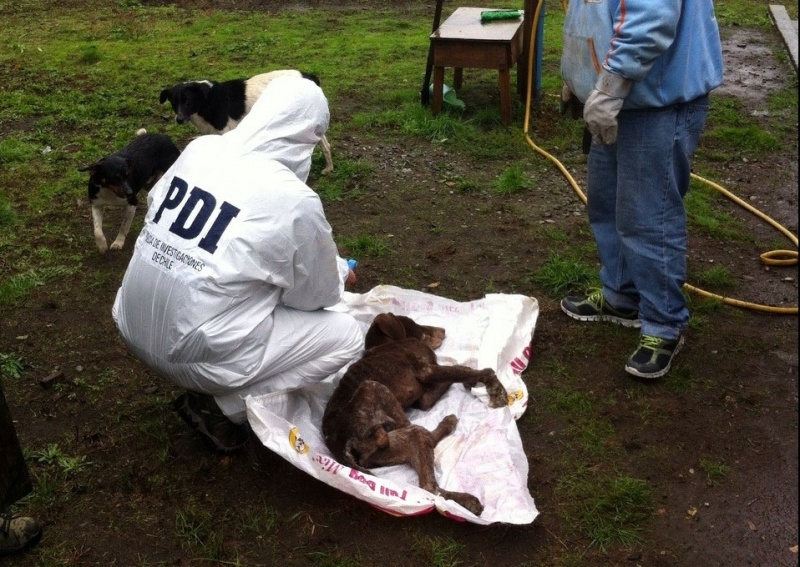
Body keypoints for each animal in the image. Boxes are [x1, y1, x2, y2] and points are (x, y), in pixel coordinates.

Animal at [159, 70, 334, 174]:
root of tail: (310, 77)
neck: (206, 101)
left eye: (188, 102)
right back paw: (329, 168)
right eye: (174, 103)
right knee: (326, 144)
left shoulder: (226, 132)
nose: (179, 119)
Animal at [322, 312, 510, 516]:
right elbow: (465, 370)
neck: (385, 344)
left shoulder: (423, 396)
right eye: (413, 322)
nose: (443, 330)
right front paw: (494, 387)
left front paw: (472, 382)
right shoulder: (427, 370)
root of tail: (342, 447)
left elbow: (455, 375)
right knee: (427, 466)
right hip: (375, 390)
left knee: (429, 485)